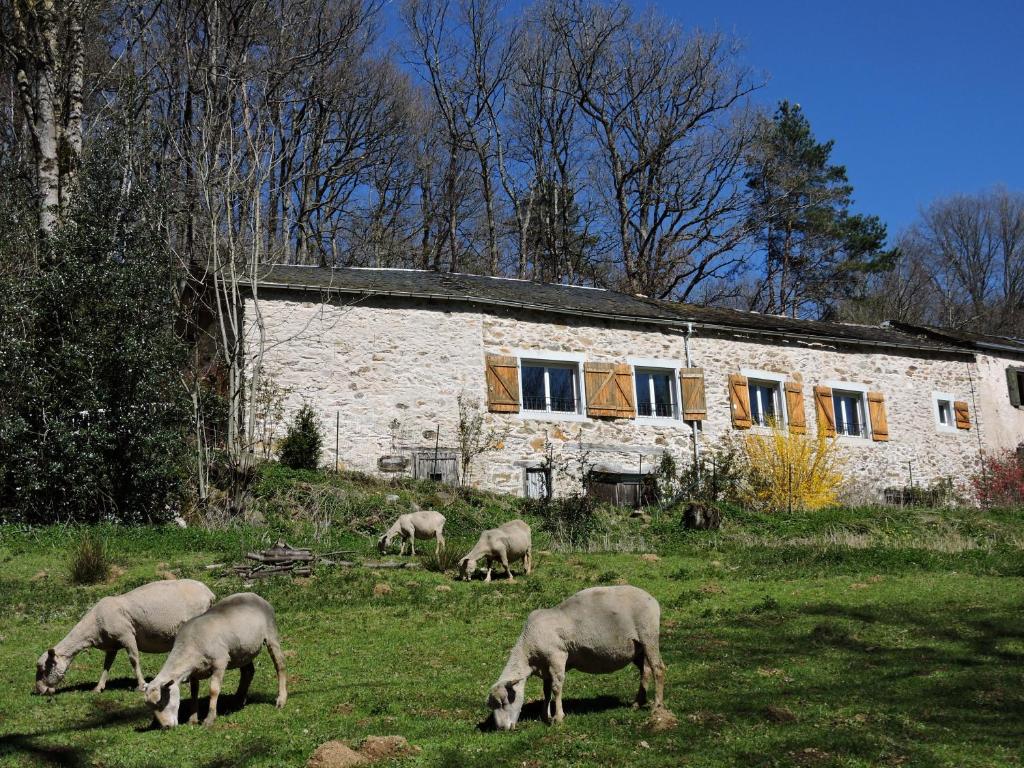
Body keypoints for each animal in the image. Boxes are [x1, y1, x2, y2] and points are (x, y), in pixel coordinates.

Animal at [34, 577, 215, 696]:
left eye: (44, 669)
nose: (39, 690)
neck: (94, 625)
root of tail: (209, 593)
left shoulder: (127, 636)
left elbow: (134, 660)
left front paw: (141, 685)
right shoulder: (112, 645)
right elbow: (106, 665)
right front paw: (98, 687)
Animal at [144, 593, 288, 729]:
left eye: (162, 702)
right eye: (150, 708)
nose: (166, 727)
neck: (189, 645)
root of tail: (255, 595)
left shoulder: (220, 661)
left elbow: (213, 690)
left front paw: (209, 719)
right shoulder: (195, 671)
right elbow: (194, 692)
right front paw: (193, 719)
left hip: (271, 635)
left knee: (280, 665)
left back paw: (281, 700)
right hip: (243, 650)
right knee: (248, 672)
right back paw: (238, 700)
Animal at [485, 585, 663, 729]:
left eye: (504, 702)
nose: (501, 728)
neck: (528, 651)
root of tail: (653, 600)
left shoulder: (557, 656)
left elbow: (556, 688)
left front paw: (558, 717)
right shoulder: (545, 665)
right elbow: (546, 691)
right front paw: (545, 715)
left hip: (648, 636)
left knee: (658, 668)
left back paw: (657, 706)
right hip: (636, 649)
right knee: (645, 670)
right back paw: (638, 703)